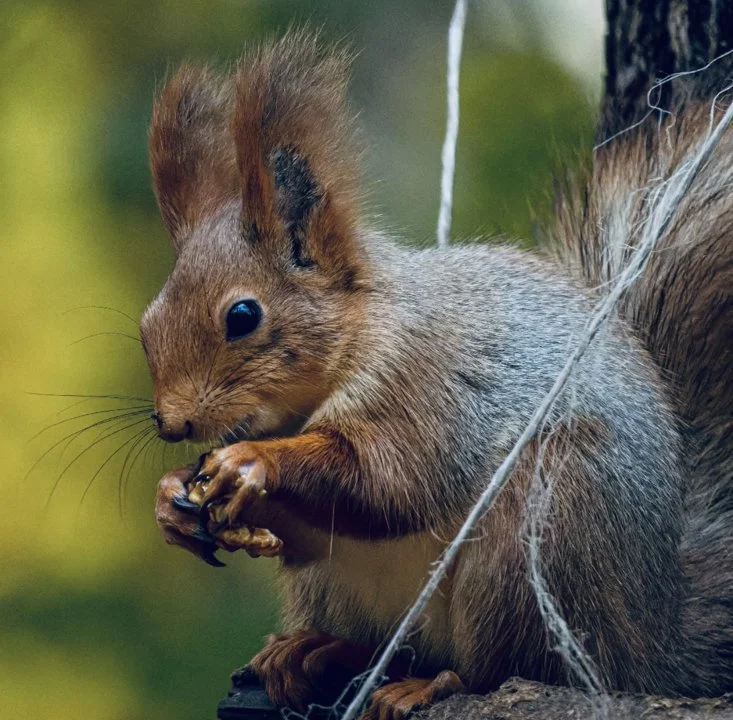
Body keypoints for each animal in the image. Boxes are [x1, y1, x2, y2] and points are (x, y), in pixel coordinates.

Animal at [147, 30, 733, 719]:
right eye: (148, 322)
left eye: (243, 315)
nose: (171, 422)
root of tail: (649, 638)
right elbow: (313, 531)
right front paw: (170, 500)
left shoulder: (425, 384)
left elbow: (387, 484)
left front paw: (254, 463)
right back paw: (314, 649)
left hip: (539, 532)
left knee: (503, 669)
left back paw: (430, 683)